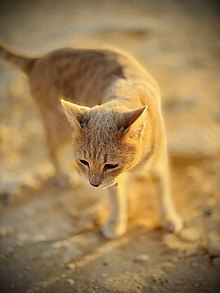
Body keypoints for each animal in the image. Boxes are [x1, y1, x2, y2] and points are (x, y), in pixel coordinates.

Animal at [0, 44, 182, 238]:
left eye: (111, 165)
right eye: (84, 162)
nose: (93, 183)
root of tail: (38, 59)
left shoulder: (159, 163)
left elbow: (163, 193)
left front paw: (169, 218)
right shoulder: (113, 181)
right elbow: (116, 198)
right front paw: (116, 222)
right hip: (59, 128)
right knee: (50, 146)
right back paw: (63, 176)